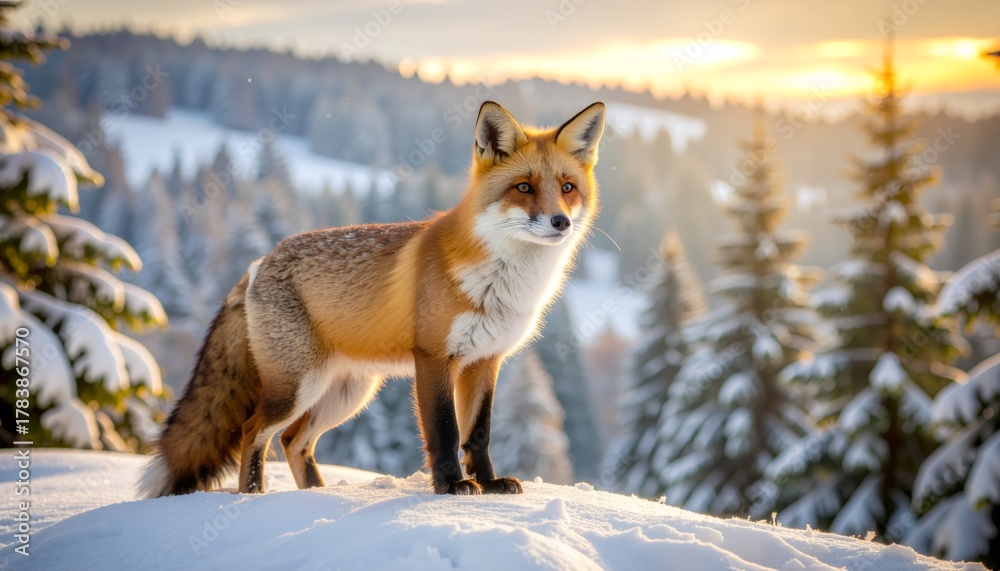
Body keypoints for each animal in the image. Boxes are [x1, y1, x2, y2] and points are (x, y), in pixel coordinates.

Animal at [139, 100, 606, 497]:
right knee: (252, 432)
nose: (560, 222)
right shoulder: (434, 356)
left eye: (567, 187)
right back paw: (252, 495)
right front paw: (452, 487)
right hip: (298, 387)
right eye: (523, 187)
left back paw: (315, 494)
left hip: (346, 394)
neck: (503, 281)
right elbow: (445, 431)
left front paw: (489, 484)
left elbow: (478, 433)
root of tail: (259, 261)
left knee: (293, 441)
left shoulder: (485, 361)